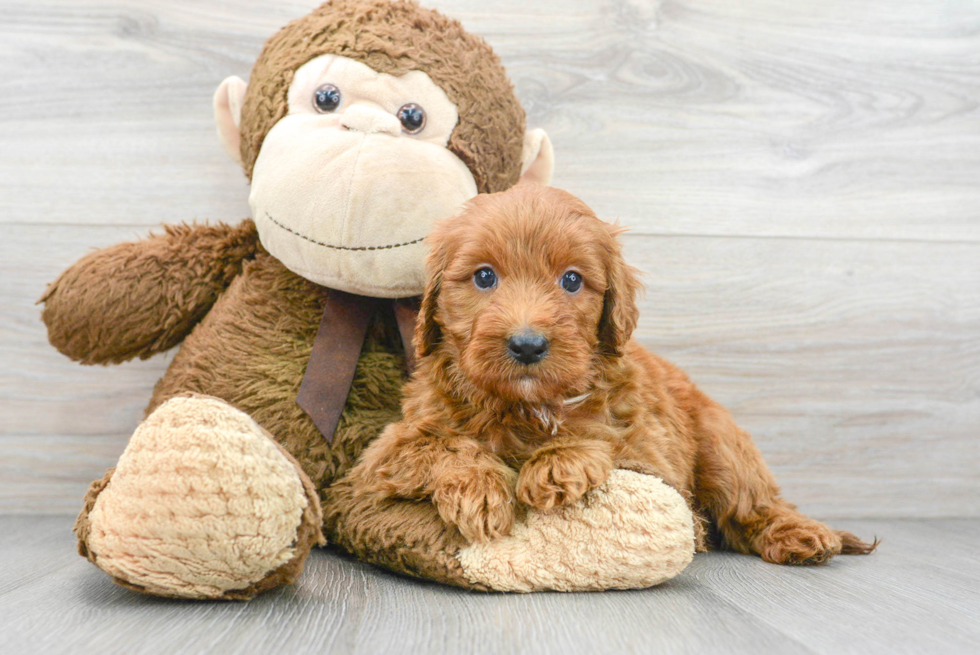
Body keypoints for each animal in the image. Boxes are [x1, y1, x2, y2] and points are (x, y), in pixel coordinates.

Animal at [348, 184, 876, 564]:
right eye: (483, 276)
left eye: (571, 280)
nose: (527, 344)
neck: (523, 406)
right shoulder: (386, 450)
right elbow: (439, 444)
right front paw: (480, 490)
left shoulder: (654, 461)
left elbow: (603, 436)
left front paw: (557, 464)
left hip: (722, 447)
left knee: (755, 505)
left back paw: (802, 535)